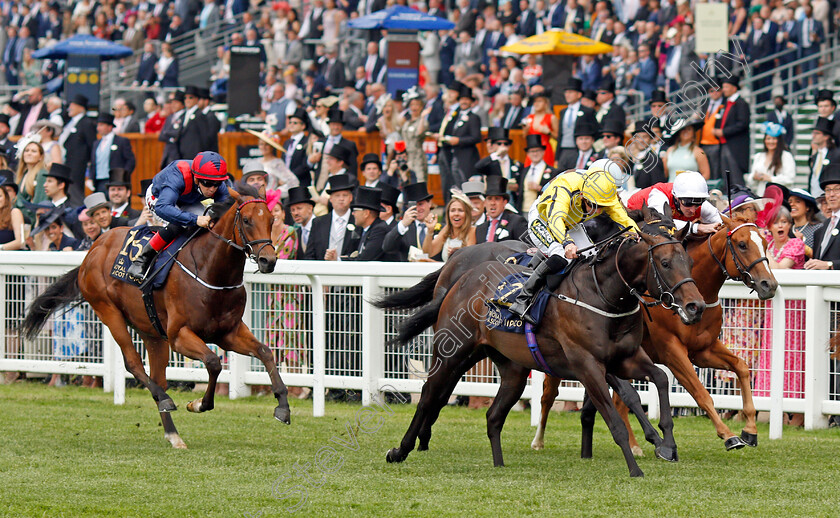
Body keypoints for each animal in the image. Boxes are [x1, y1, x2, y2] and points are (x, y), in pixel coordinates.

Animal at [21, 187, 288, 450]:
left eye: (272, 220)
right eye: (247, 220)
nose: (268, 260)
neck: (211, 269)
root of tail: (93, 250)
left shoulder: (228, 332)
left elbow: (265, 352)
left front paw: (282, 407)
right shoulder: (179, 336)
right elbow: (213, 362)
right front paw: (198, 404)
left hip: (151, 331)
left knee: (158, 376)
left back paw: (173, 433)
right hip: (108, 311)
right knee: (134, 364)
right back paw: (165, 399)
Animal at [380, 208, 704, 480]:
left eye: (689, 261)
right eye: (664, 263)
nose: (695, 306)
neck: (604, 295)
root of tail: (461, 273)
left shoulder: (625, 358)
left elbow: (659, 379)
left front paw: (666, 444)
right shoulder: (588, 365)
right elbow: (618, 412)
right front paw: (637, 466)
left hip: (508, 366)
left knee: (490, 413)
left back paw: (494, 463)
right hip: (452, 352)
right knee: (429, 394)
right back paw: (402, 449)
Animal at [536, 215, 776, 456]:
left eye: (765, 243)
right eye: (742, 244)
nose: (770, 285)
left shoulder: (703, 350)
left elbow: (741, 367)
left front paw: (750, 430)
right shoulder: (671, 351)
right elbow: (700, 392)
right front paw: (728, 435)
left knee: (617, 400)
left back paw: (634, 445)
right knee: (548, 394)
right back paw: (538, 441)